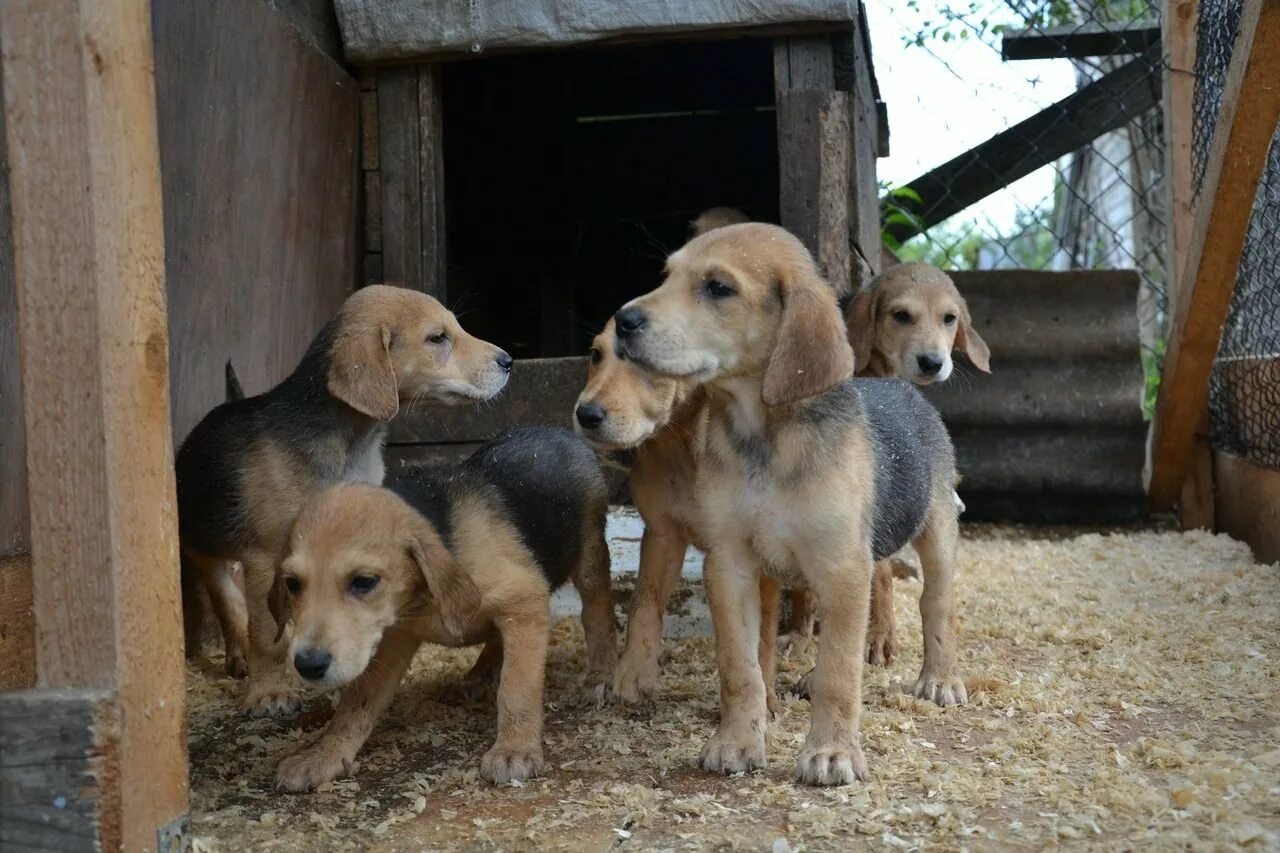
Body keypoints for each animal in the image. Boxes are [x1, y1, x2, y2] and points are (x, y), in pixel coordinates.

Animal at [176, 284, 514, 712]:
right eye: (437, 338)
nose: (509, 361)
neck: (353, 442)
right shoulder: (265, 557)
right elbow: (267, 635)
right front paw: (269, 692)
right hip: (204, 542)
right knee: (224, 594)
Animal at [267, 427, 616, 788]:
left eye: (363, 581)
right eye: (292, 584)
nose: (308, 665)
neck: (425, 597)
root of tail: (556, 430)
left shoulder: (525, 599)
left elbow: (517, 686)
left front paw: (514, 751)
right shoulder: (393, 637)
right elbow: (356, 702)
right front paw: (323, 755)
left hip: (589, 555)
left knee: (597, 614)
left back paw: (600, 676)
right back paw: (476, 678)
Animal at [614, 220, 962, 783]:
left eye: (718, 287)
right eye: (665, 275)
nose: (622, 321)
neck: (764, 436)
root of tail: (901, 386)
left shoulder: (843, 566)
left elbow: (841, 673)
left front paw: (832, 752)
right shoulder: (730, 565)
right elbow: (741, 667)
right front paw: (737, 741)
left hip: (936, 535)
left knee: (935, 605)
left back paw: (940, 678)